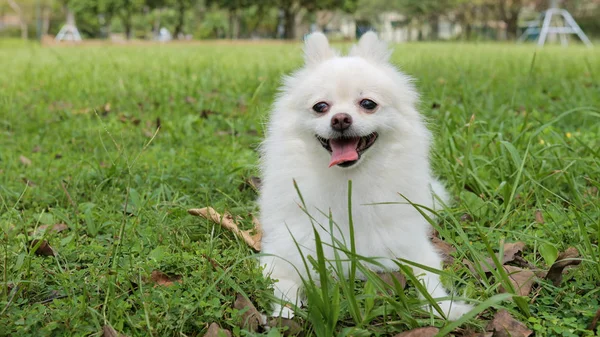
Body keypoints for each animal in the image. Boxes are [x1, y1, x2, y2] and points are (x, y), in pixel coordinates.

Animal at [260, 32, 472, 320]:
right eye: (320, 107)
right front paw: (287, 311)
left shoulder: (410, 246)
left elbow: (429, 280)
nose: (340, 119)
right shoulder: (286, 250)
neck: (349, 182)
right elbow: (285, 284)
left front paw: (447, 308)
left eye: (368, 104)